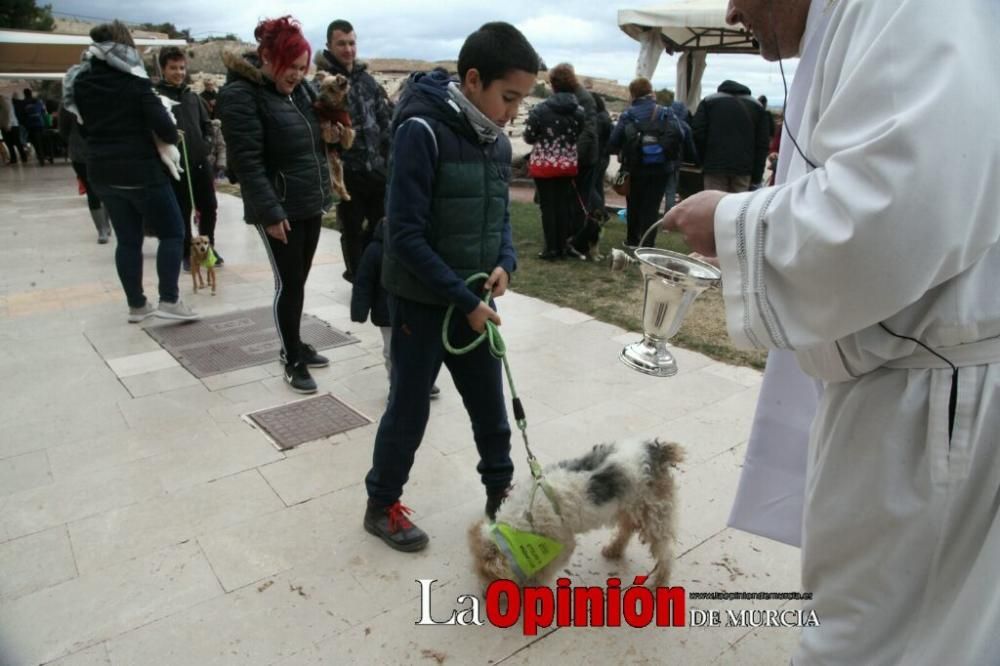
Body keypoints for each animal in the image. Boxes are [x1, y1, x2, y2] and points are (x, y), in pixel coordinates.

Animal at [468, 440, 680, 588]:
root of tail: (658, 451)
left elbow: (544, 571)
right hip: (629, 507)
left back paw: (660, 583)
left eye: (487, 575)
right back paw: (613, 550)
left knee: (667, 552)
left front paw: (531, 586)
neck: (524, 516)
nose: (484, 595)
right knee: (626, 530)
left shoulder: (562, 545)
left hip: (654, 515)